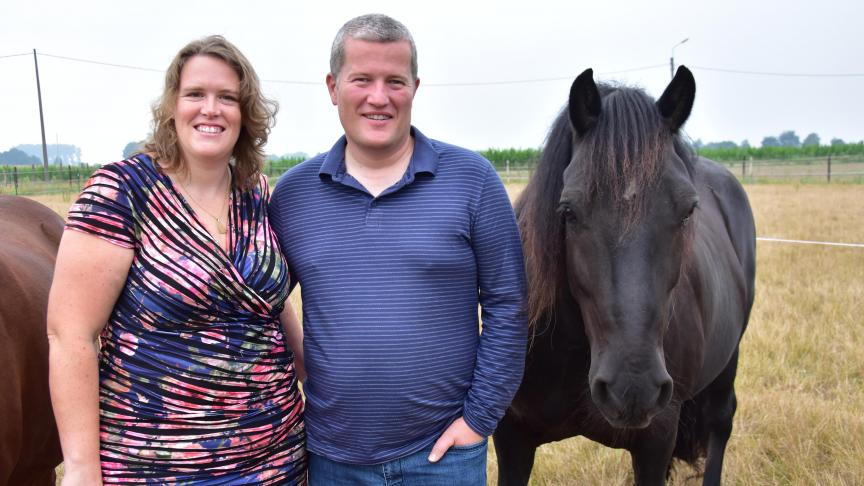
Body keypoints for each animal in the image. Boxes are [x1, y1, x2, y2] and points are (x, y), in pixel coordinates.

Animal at [492, 65, 756, 486]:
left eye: (688, 210)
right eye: (568, 211)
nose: (633, 387)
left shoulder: (655, 442)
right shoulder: (512, 436)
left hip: (727, 364)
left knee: (720, 423)